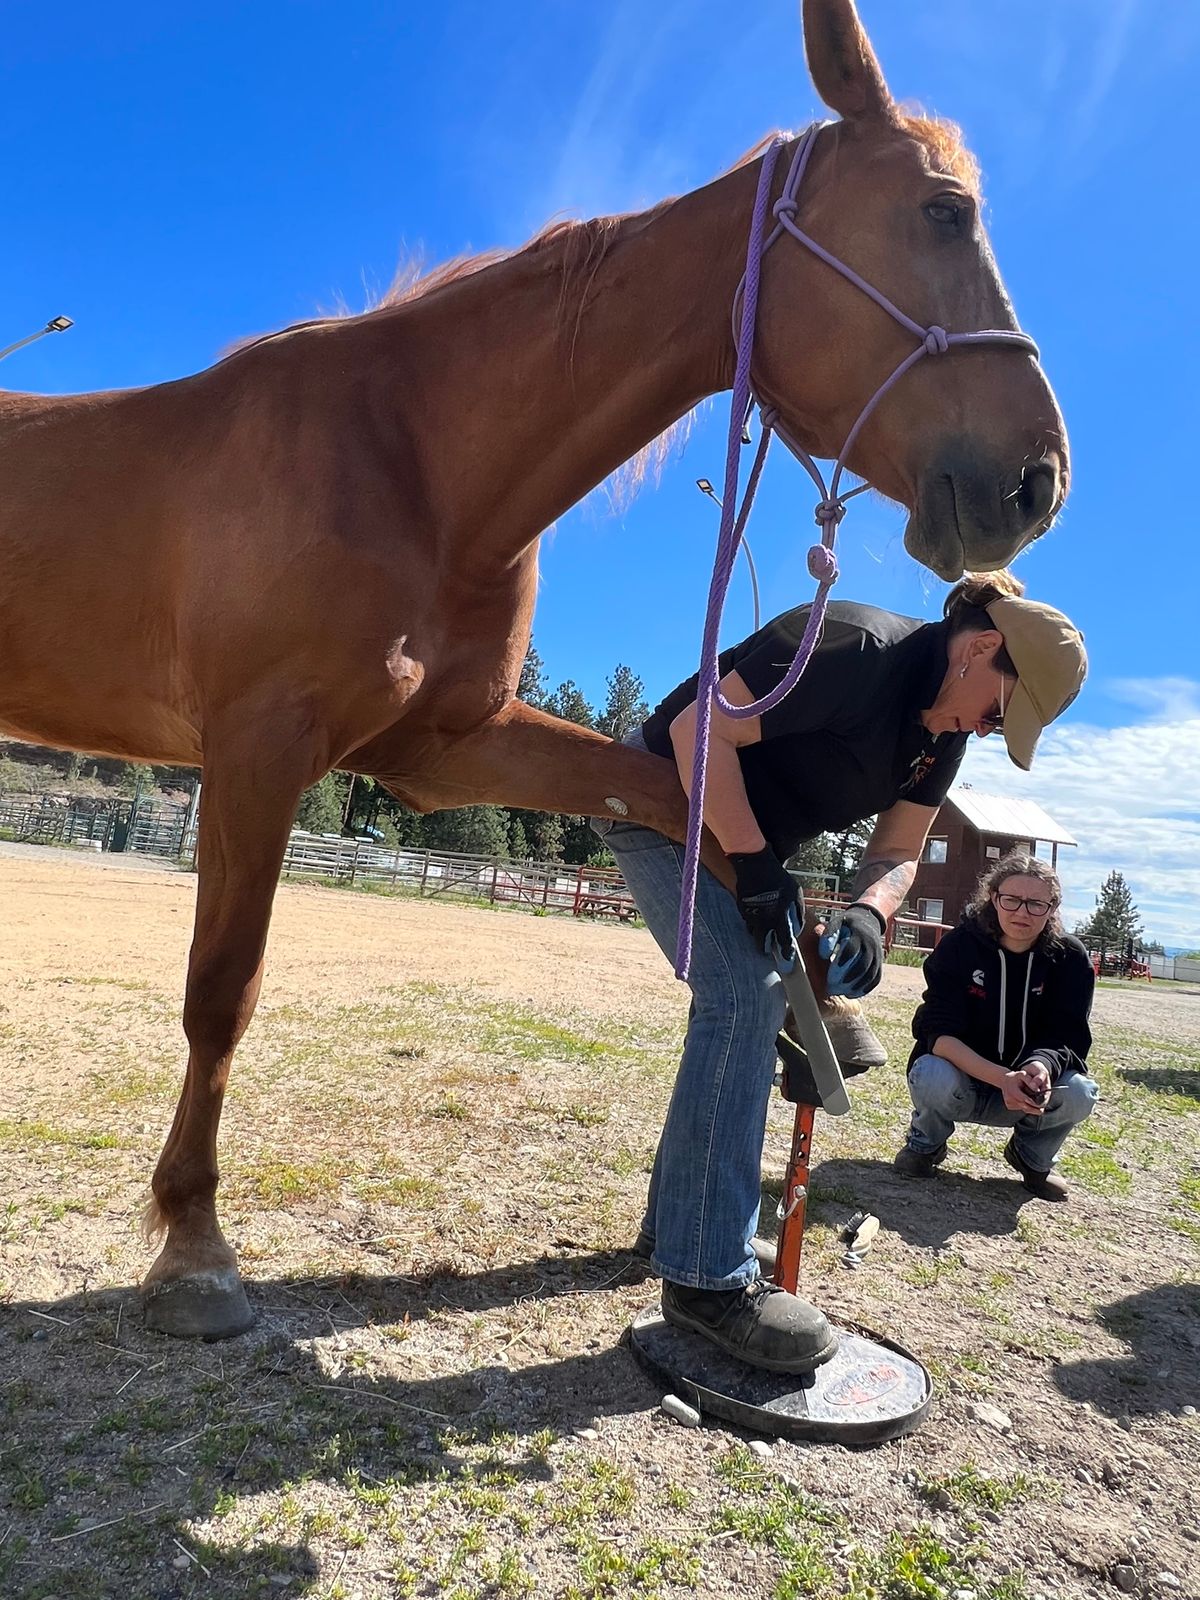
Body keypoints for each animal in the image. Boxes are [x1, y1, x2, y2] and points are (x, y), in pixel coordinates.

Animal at [0, 0, 1068, 1337]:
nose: (1037, 480)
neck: (410, 460)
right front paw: (194, 1248)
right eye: (942, 209)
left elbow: (685, 798)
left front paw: (818, 1004)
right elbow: (221, 992)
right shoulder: (257, 751)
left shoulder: (446, 747)